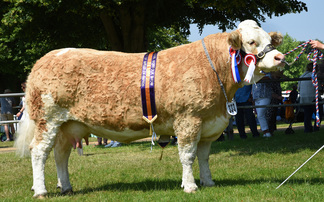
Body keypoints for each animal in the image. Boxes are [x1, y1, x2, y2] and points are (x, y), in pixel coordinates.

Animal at [14, 19, 284, 198]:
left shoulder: (209, 124)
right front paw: (190, 186)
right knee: (39, 152)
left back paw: (66, 187)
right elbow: (187, 155)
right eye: (251, 42)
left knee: (60, 154)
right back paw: (41, 190)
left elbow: (204, 156)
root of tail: (46, 58)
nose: (280, 57)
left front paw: (208, 182)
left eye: (269, 40)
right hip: (47, 119)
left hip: (67, 124)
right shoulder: (188, 119)